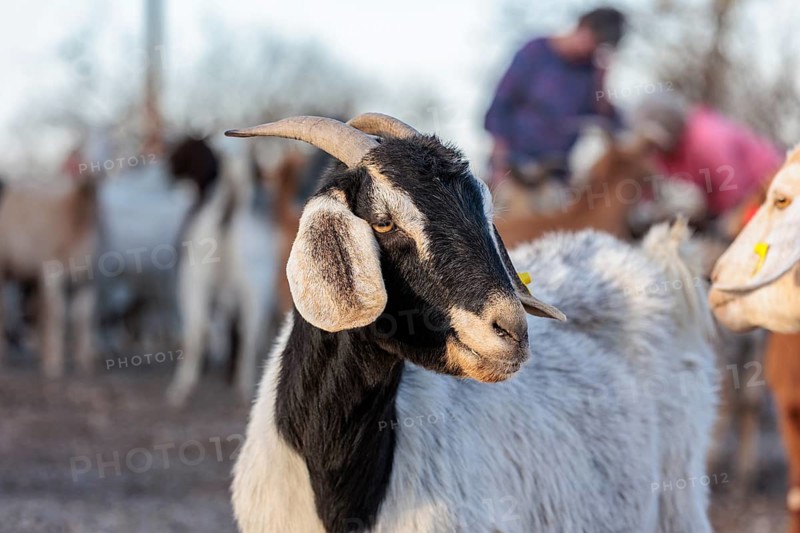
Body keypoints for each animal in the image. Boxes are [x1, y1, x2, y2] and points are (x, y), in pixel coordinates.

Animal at [0, 171, 97, 377]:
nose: (92, 174)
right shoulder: (53, 276)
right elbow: (57, 315)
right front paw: (54, 367)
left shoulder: (86, 281)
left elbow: (83, 318)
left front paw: (84, 364)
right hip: (6, 270)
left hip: (29, 277)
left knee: (34, 311)